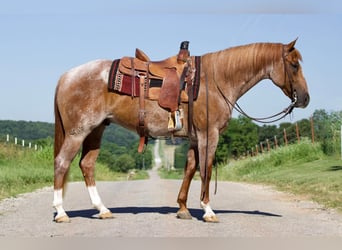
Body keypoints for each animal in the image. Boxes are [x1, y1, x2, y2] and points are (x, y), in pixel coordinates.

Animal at [53, 39, 310, 223]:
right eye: (294, 65)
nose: (305, 98)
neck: (214, 80)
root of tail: (66, 76)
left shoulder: (195, 138)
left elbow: (190, 168)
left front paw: (183, 208)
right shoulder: (209, 134)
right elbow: (206, 169)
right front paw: (208, 210)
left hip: (96, 131)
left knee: (86, 165)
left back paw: (103, 209)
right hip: (78, 132)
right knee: (62, 163)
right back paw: (61, 212)